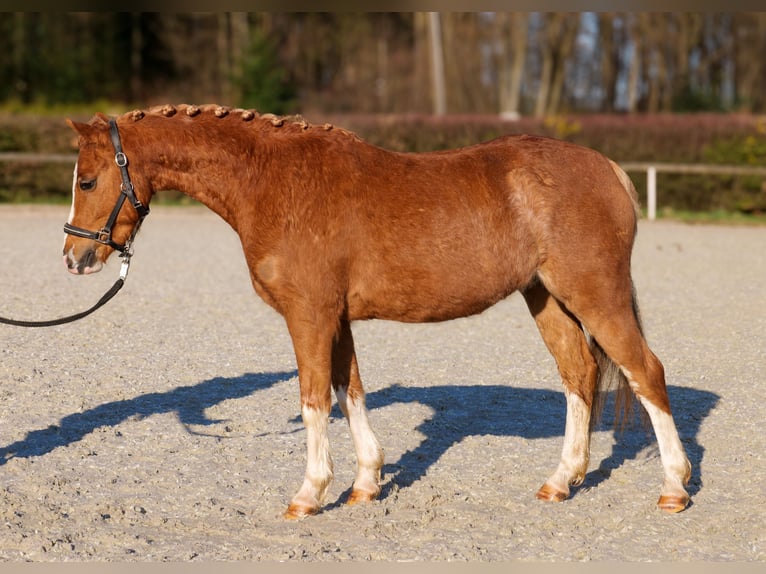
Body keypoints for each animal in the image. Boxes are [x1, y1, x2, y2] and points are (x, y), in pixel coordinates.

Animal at [62, 104, 692, 519]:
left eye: (87, 181)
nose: (75, 257)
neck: (271, 181)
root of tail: (607, 168)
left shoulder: (309, 316)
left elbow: (315, 398)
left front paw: (310, 493)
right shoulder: (336, 319)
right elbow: (351, 392)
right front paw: (365, 483)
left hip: (596, 296)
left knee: (647, 373)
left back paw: (674, 487)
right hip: (548, 299)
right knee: (579, 375)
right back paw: (561, 481)